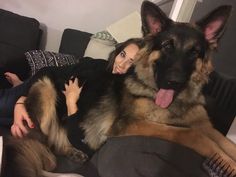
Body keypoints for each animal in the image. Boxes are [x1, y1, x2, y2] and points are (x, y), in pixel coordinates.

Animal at [1, 0, 236, 176]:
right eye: (167, 46)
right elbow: (191, 135)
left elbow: (224, 142)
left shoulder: (205, 125)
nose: (173, 82)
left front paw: (228, 161)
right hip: (47, 88)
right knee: (49, 138)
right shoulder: (129, 124)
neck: (178, 101)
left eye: (194, 52)